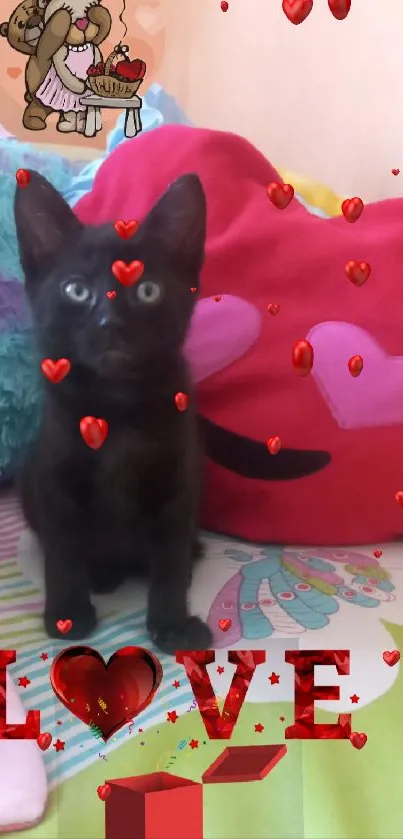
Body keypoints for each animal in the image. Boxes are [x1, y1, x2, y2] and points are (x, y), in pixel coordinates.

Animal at [14, 169, 213, 656]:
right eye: (76, 290)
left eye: (147, 290)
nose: (110, 323)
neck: (117, 406)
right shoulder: (56, 478)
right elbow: (63, 551)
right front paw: (67, 615)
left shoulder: (178, 482)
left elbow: (168, 558)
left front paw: (171, 623)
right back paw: (102, 576)